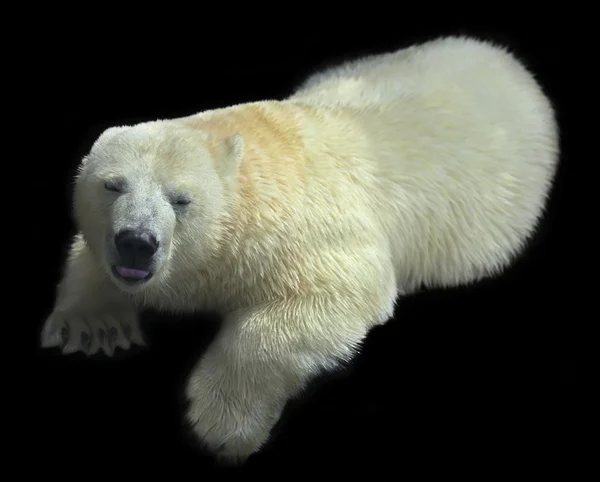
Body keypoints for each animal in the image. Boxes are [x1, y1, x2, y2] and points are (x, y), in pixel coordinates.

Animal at [41, 35, 556, 466]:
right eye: (112, 185)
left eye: (180, 198)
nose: (136, 243)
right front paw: (96, 327)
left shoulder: (309, 226)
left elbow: (338, 291)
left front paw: (222, 423)